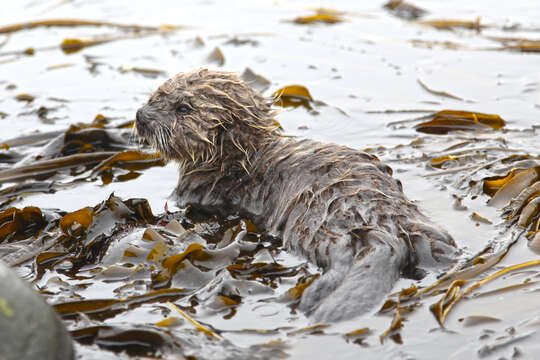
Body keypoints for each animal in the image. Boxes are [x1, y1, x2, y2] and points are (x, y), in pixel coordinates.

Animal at [134, 69, 456, 322]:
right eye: (156, 96)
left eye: (183, 108)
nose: (141, 116)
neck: (238, 160)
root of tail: (388, 228)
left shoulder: (193, 190)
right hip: (428, 230)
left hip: (318, 226)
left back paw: (309, 296)